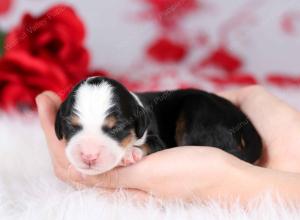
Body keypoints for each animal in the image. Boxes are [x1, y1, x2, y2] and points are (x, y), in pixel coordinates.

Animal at [55, 77, 262, 175]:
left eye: (116, 128)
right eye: (71, 126)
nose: (88, 156)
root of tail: (240, 117)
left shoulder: (156, 139)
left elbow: (149, 145)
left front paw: (129, 153)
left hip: (198, 111)